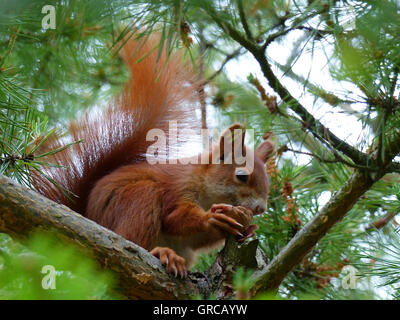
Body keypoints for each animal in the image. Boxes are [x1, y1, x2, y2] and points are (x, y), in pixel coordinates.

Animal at [33, 34, 276, 276]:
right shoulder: (177, 188)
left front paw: (247, 228)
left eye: (268, 181)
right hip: (135, 200)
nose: (260, 209)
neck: (207, 191)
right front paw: (212, 217)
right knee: (133, 237)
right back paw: (161, 253)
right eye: (242, 176)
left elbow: (201, 239)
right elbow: (174, 218)